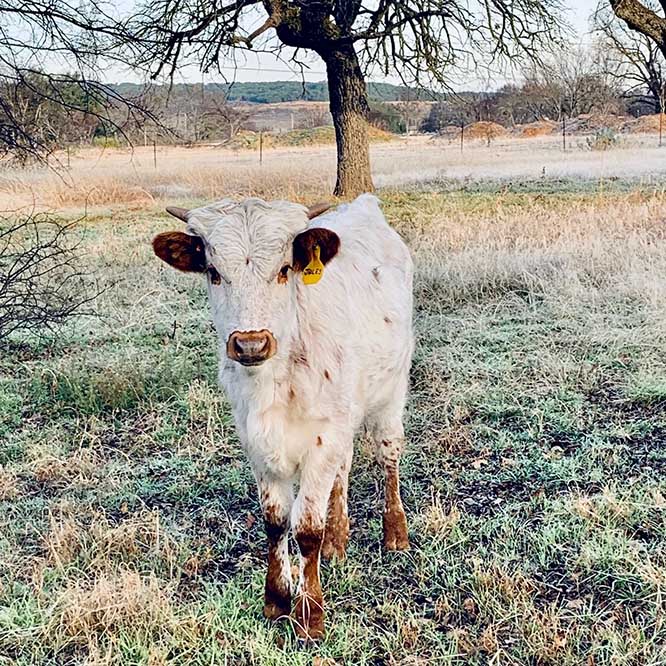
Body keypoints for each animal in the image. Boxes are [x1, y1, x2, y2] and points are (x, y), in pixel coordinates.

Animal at [153, 193, 412, 640]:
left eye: (285, 269)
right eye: (214, 273)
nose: (251, 344)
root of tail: (365, 205)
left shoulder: (322, 438)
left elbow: (306, 528)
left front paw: (310, 615)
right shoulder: (258, 442)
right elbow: (275, 521)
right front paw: (276, 599)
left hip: (390, 391)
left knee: (387, 453)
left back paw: (395, 532)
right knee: (343, 470)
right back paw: (337, 541)